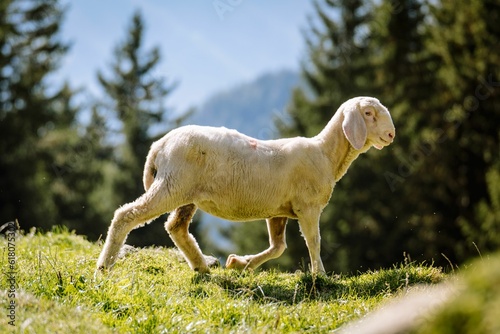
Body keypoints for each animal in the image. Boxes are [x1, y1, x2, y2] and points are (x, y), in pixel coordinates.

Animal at [96, 95, 394, 272]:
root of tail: (160, 145)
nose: (391, 134)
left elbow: (278, 247)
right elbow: (314, 241)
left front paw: (239, 263)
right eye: (369, 113)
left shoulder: (278, 211)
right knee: (126, 215)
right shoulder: (307, 207)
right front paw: (319, 275)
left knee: (176, 227)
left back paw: (202, 266)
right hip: (172, 184)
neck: (325, 153)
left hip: (186, 191)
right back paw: (104, 267)